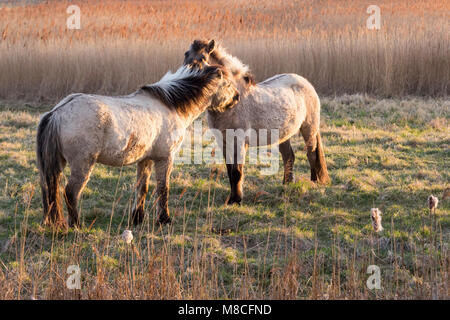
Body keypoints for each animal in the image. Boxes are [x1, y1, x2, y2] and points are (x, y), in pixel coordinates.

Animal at [37, 64, 241, 230]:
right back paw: (77, 225)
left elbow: (142, 188)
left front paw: (137, 219)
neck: (170, 105)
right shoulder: (165, 159)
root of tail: (57, 113)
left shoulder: (145, 160)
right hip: (82, 165)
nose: (237, 97)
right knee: (70, 193)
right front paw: (164, 219)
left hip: (59, 165)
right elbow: (163, 189)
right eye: (227, 84)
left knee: (52, 190)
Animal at [184, 40, 330, 205]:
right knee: (289, 157)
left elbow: (236, 171)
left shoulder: (239, 142)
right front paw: (232, 198)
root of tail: (305, 83)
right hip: (283, 135)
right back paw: (287, 184)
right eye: (186, 55)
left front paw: (236, 200)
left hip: (309, 129)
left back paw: (314, 181)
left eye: (203, 58)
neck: (232, 102)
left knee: (311, 153)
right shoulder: (224, 143)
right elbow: (230, 170)